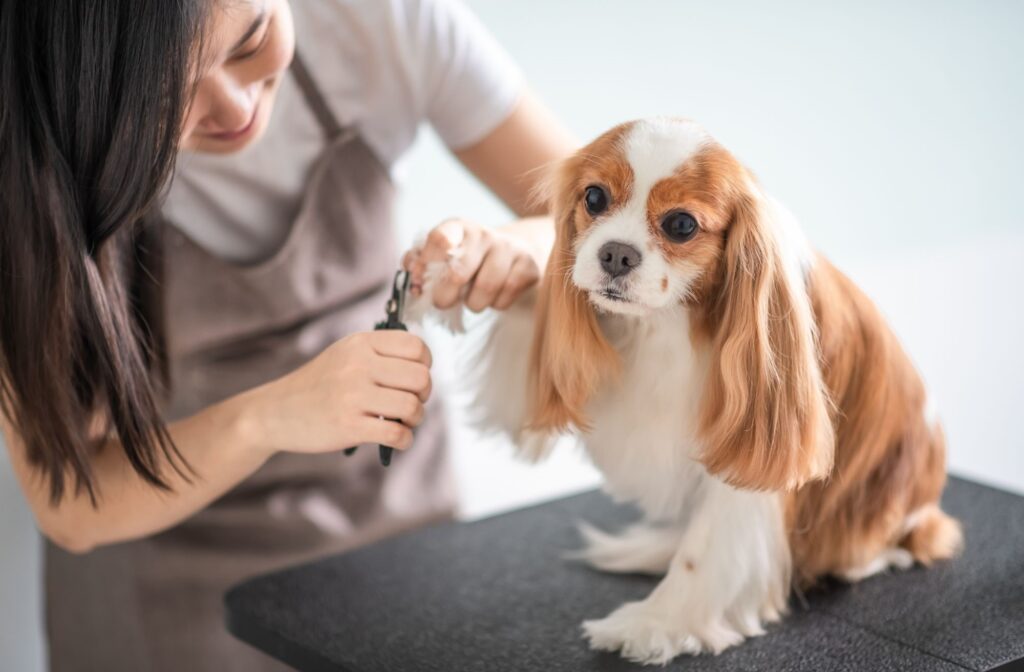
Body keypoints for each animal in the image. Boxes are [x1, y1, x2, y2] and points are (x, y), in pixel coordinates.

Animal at [405, 118, 958, 663]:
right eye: (594, 198)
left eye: (681, 225)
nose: (616, 253)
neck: (667, 322)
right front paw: (454, 268)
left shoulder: (749, 454)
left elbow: (704, 550)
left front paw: (655, 624)